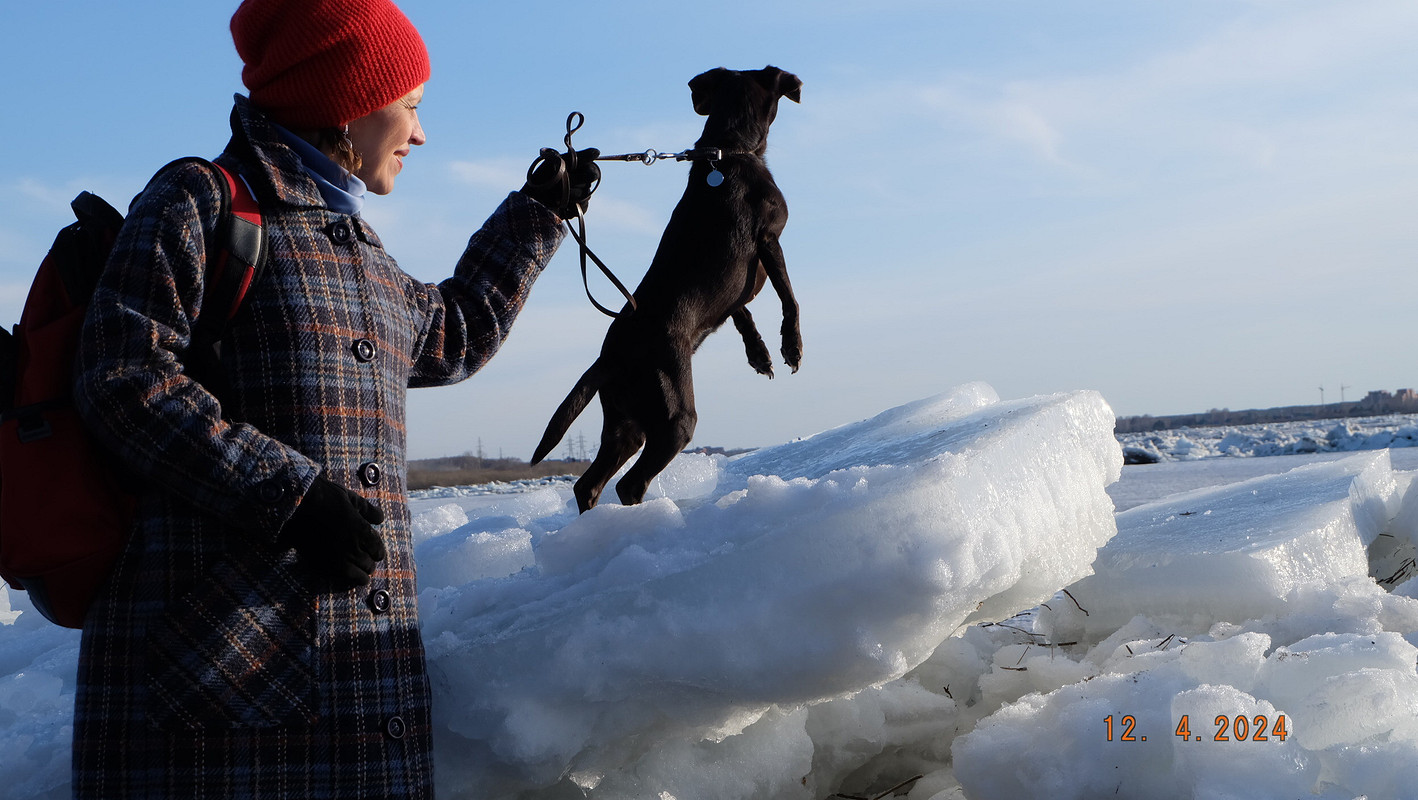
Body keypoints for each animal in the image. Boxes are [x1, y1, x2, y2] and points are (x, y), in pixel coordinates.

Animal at [533, 64, 805, 513]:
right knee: (629, 484)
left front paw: (760, 354)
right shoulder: (769, 239)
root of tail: (609, 357)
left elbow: (741, 313)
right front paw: (790, 347)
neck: (727, 151)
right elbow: (789, 298)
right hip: (674, 416)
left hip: (627, 423)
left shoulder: (734, 287)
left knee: (587, 485)